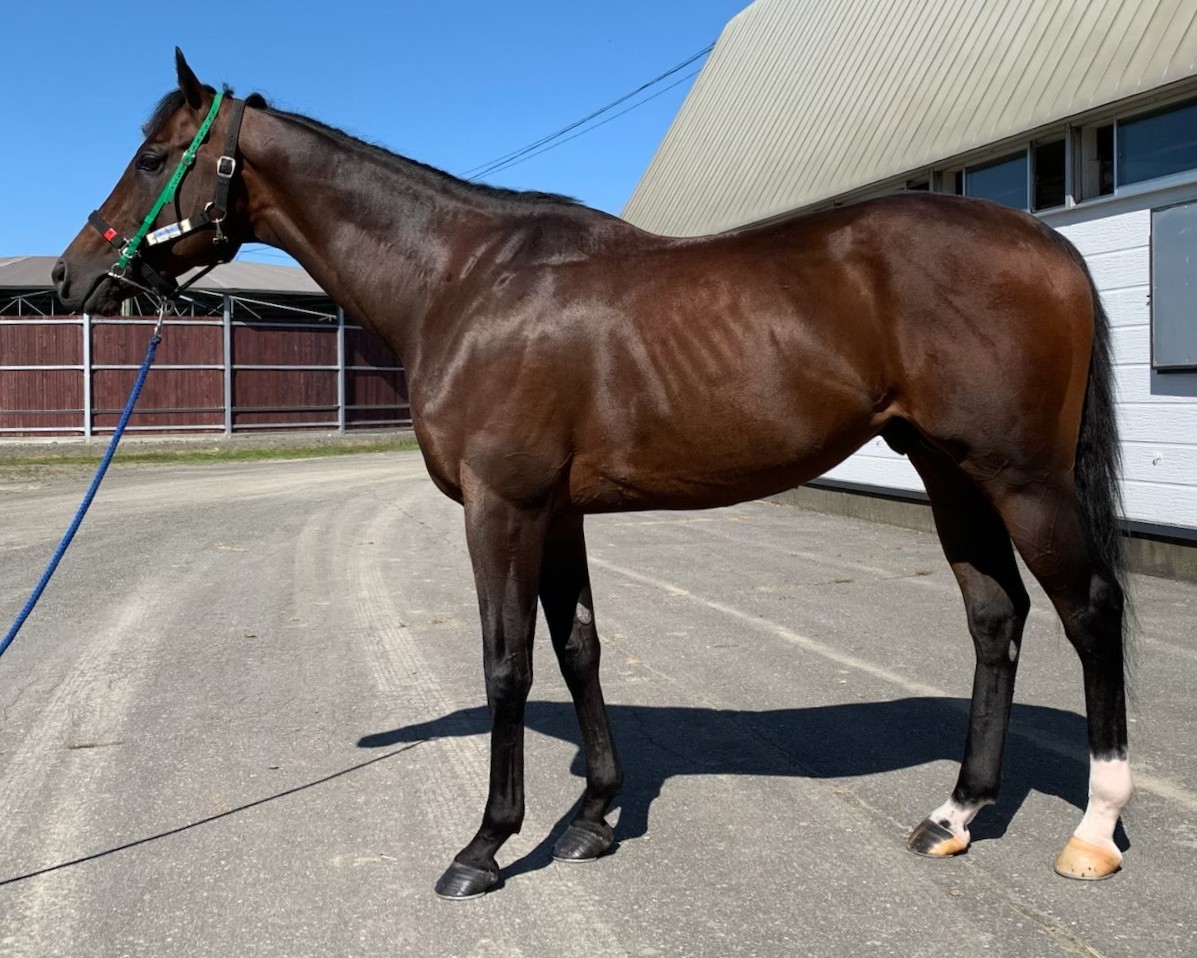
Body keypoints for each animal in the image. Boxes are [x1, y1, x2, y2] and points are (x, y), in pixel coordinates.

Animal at [54, 50, 1132, 898]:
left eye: (153, 159)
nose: (71, 279)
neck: (467, 279)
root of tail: (1049, 242)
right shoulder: (557, 511)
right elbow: (579, 648)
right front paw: (593, 817)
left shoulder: (502, 508)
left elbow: (507, 662)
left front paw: (487, 844)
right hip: (950, 473)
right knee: (995, 617)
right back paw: (956, 814)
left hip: (1022, 478)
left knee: (1089, 609)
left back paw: (1092, 831)